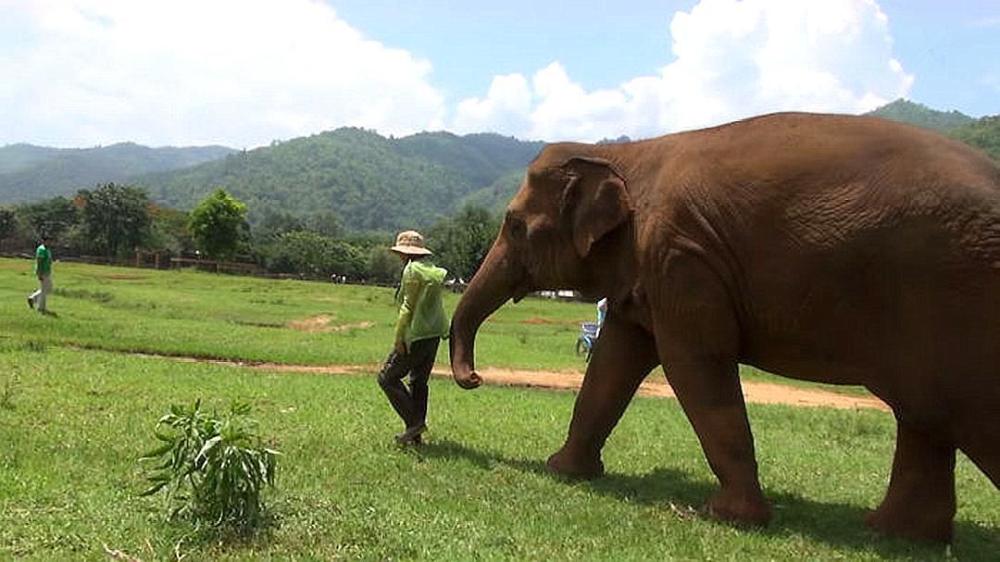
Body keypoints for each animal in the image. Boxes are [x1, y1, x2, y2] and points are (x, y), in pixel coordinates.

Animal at [452, 111, 1000, 540]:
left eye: (514, 225)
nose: (474, 378)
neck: (627, 156)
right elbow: (614, 362)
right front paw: (564, 471)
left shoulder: (681, 259)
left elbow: (694, 363)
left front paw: (728, 517)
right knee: (925, 413)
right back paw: (895, 534)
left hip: (957, 296)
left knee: (959, 412)